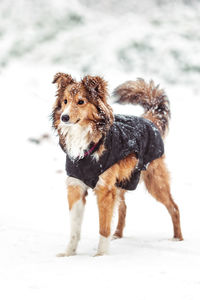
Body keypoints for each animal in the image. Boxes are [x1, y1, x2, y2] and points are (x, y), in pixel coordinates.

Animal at [51, 74, 183, 256]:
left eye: (81, 101)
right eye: (64, 101)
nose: (64, 117)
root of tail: (148, 119)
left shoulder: (104, 189)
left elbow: (103, 226)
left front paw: (101, 255)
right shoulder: (75, 186)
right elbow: (74, 228)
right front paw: (68, 254)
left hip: (155, 181)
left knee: (174, 207)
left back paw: (178, 238)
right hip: (123, 181)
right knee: (124, 208)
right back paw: (117, 235)